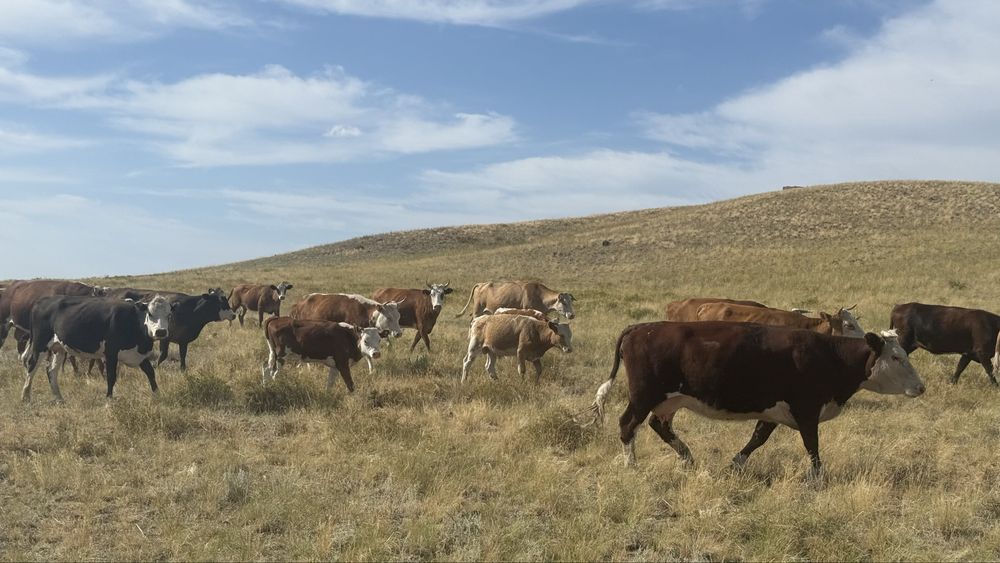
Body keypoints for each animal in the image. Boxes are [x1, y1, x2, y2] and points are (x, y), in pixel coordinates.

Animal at [21, 295, 176, 402]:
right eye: (150, 313)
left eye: (169, 315)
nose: (161, 332)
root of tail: (43, 300)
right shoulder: (111, 353)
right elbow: (111, 377)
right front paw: (109, 401)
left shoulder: (140, 355)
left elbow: (151, 373)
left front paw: (158, 395)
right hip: (40, 344)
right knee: (31, 365)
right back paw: (25, 396)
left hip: (59, 348)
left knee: (51, 371)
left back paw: (59, 398)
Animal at [582, 322, 924, 476]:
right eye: (896, 357)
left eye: (905, 353)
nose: (921, 387)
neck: (828, 356)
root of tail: (641, 328)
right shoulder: (806, 409)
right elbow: (812, 446)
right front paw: (817, 477)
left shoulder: (775, 412)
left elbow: (757, 438)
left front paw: (735, 464)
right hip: (644, 395)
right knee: (628, 425)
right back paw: (632, 465)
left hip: (670, 400)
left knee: (660, 426)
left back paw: (687, 457)